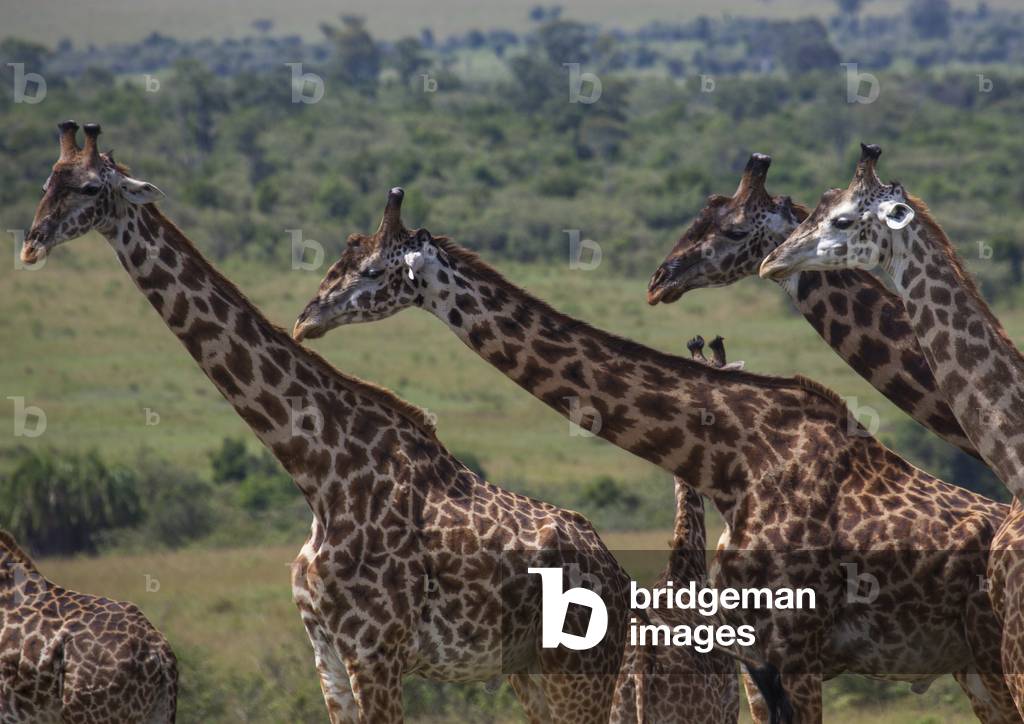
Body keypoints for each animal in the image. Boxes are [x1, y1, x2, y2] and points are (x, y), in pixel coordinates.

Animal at [19, 121, 633, 724]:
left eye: (90, 189)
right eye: (48, 181)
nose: (30, 243)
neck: (319, 473)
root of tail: (617, 574)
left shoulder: (376, 650)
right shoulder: (326, 652)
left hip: (577, 669)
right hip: (527, 671)